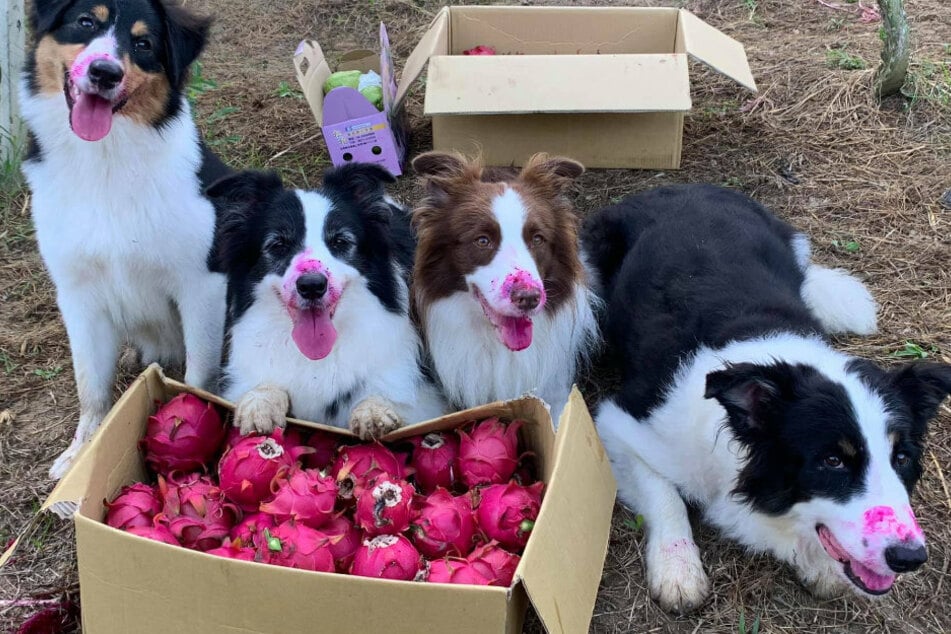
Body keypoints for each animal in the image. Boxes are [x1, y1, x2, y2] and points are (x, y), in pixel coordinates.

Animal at [208, 165, 446, 436]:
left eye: (341, 241)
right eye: (277, 245)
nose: (312, 286)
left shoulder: (424, 397)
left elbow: (386, 398)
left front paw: (374, 412)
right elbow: (265, 385)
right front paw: (259, 405)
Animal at [588, 185, 951, 608]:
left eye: (902, 458)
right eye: (832, 461)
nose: (909, 557)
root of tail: (683, 187)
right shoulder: (620, 421)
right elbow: (665, 495)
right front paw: (677, 569)